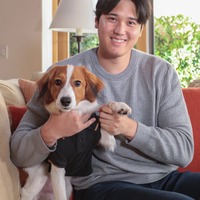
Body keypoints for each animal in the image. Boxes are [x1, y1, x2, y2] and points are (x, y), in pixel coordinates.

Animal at [20, 65, 131, 199]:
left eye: (78, 83)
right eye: (58, 82)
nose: (65, 101)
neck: (75, 112)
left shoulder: (104, 139)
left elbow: (104, 110)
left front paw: (119, 107)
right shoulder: (58, 164)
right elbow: (60, 196)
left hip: (67, 187)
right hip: (39, 177)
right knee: (27, 191)